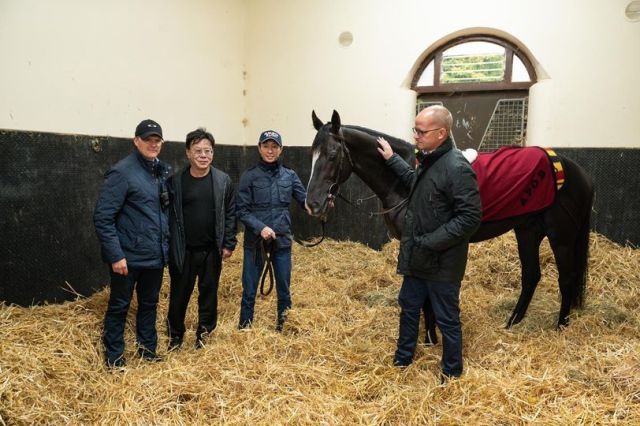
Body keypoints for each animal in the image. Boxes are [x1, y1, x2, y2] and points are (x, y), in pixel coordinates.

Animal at [304, 109, 596, 332]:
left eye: (332, 155)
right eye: (312, 155)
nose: (312, 204)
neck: (407, 181)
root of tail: (576, 170)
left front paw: (429, 336)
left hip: (561, 237)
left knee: (566, 278)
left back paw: (560, 326)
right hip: (527, 230)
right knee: (531, 275)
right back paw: (512, 323)